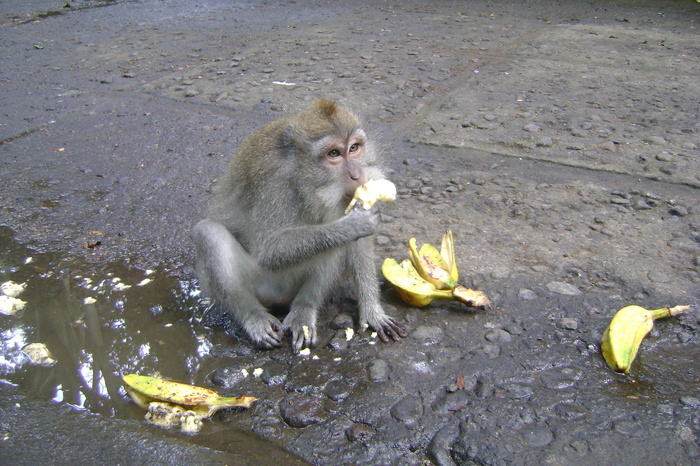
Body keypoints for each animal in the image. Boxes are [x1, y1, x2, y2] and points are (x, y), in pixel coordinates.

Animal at [194, 99, 408, 354]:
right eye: (334, 153)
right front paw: (352, 226)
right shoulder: (274, 183)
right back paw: (253, 316)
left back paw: (304, 310)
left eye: (354, 148)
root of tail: (277, 299)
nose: (357, 175)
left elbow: (359, 244)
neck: (303, 179)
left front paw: (372, 311)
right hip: (259, 284)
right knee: (209, 233)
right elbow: (269, 250)